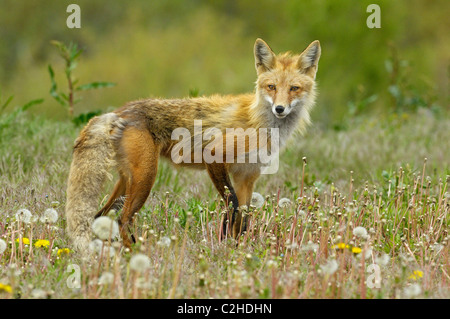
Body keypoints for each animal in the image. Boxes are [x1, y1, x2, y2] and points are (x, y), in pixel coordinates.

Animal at [66, 38, 320, 252]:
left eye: (294, 88)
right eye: (272, 87)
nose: (279, 109)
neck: (259, 121)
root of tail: (119, 111)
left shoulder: (247, 177)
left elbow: (243, 221)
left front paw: (237, 252)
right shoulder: (215, 156)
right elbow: (232, 205)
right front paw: (224, 246)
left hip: (127, 181)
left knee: (99, 216)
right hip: (145, 177)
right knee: (122, 219)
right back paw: (135, 255)